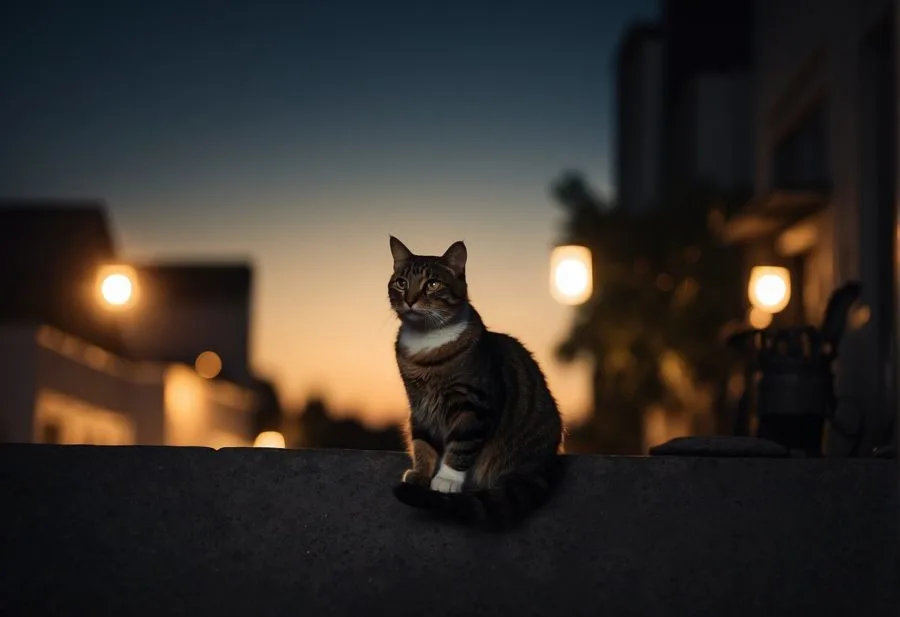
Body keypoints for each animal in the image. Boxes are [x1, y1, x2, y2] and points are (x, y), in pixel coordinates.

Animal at [386, 233, 564, 528]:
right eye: (401, 282)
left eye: (432, 284)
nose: (410, 300)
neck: (426, 346)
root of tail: (541, 464)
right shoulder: (419, 406)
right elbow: (423, 443)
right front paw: (421, 473)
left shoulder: (474, 402)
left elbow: (462, 444)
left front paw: (445, 479)